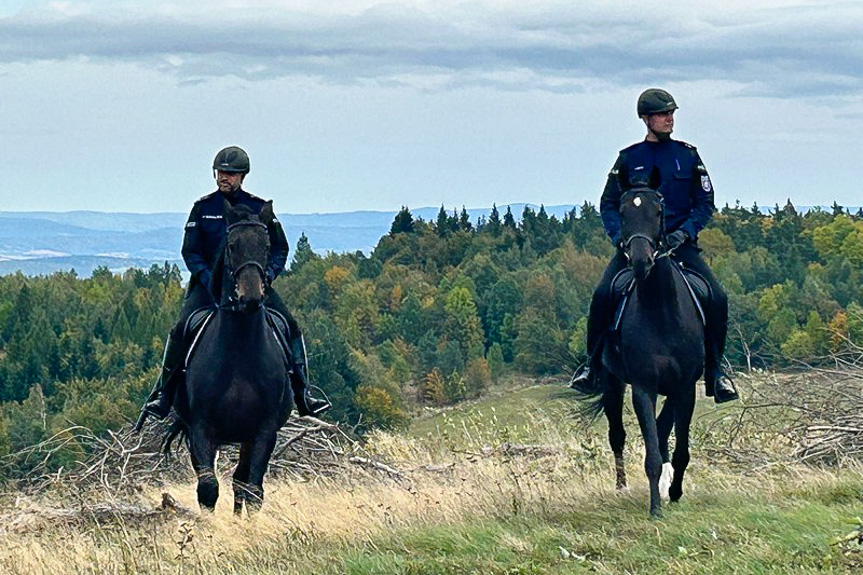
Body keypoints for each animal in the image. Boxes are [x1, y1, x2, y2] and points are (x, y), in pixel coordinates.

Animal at [167, 200, 296, 516]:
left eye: (266, 244)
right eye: (232, 245)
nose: (250, 297)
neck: (240, 350)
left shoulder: (263, 431)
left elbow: (253, 489)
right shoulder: (202, 429)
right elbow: (208, 488)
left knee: (241, 482)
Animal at [572, 172, 704, 516]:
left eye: (657, 211)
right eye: (622, 212)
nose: (641, 262)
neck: (662, 312)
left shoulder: (685, 387)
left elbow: (677, 445)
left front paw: (675, 492)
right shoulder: (643, 387)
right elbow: (652, 454)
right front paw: (656, 507)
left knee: (662, 428)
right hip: (612, 382)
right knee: (617, 434)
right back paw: (621, 487)